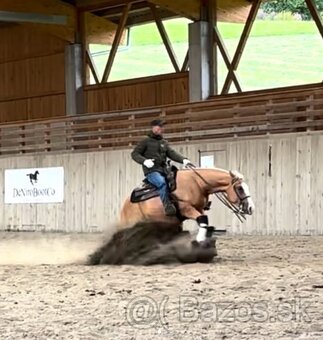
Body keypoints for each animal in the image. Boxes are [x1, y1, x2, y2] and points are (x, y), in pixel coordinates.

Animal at [119, 167, 256, 247]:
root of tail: (125, 205)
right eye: (240, 188)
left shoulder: (199, 208)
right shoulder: (187, 209)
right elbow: (203, 219)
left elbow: (204, 221)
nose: (251, 208)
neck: (196, 183)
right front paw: (199, 240)